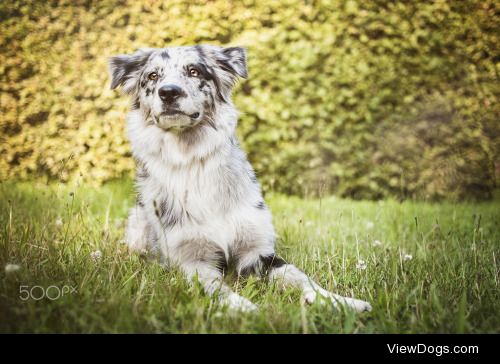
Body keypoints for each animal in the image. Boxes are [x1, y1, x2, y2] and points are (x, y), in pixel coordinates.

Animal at [108, 45, 372, 312]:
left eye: (194, 71)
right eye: (153, 76)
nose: (169, 92)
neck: (193, 163)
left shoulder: (257, 253)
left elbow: (299, 276)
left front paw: (338, 300)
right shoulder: (190, 262)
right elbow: (217, 289)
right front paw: (245, 309)